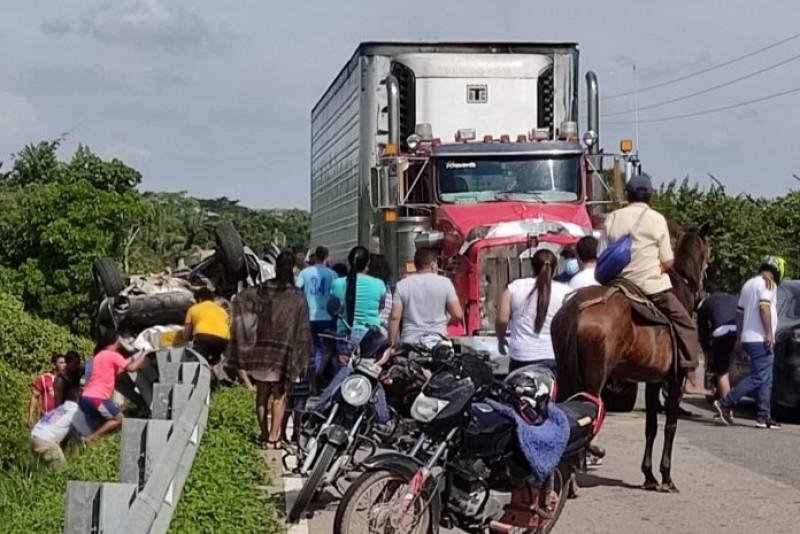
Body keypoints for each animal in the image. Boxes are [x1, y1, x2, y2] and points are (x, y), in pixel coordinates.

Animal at [552, 224, 712, 496]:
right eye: (707, 254)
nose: (703, 287)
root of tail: (576, 307)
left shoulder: (653, 381)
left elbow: (651, 426)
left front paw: (649, 475)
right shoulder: (675, 380)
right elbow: (670, 426)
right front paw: (666, 477)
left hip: (567, 374)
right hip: (594, 378)